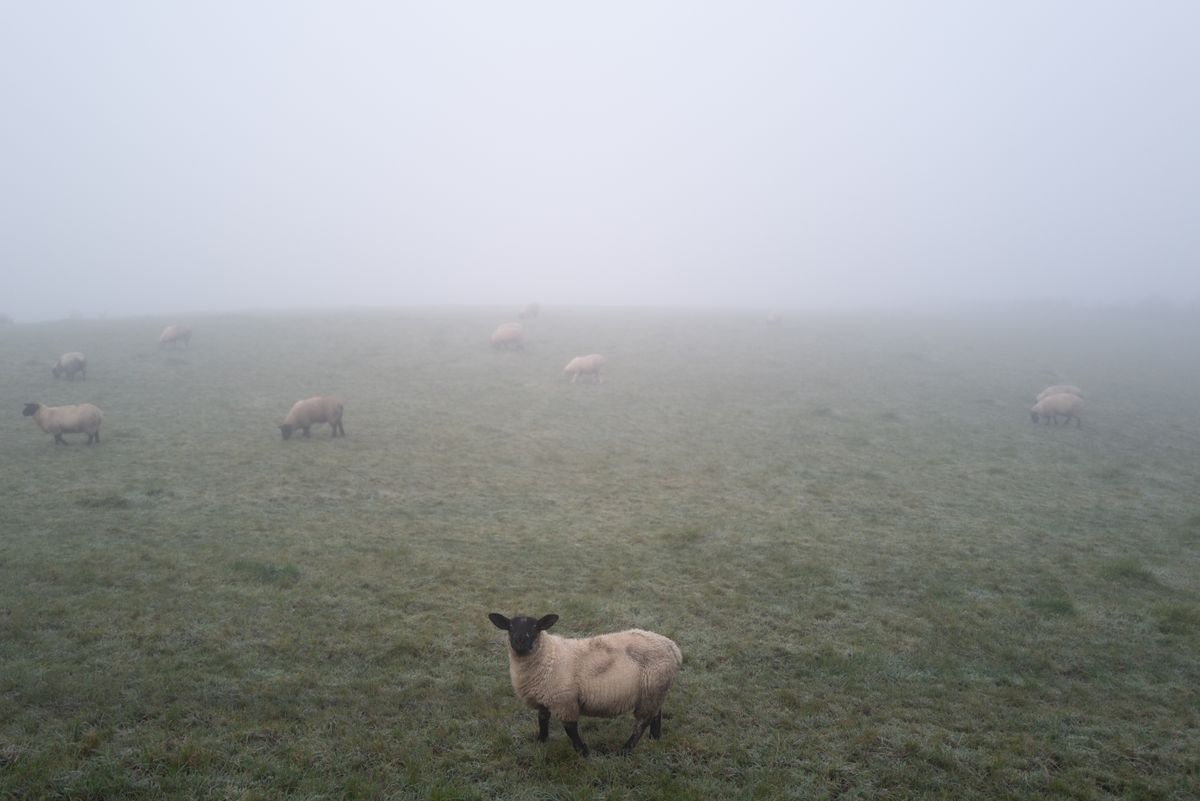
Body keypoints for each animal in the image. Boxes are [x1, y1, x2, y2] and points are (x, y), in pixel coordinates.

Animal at [488, 612, 682, 756]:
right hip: (657, 690)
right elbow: (542, 720)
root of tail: (671, 645)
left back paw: (626, 750)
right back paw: (654, 738)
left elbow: (570, 729)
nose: (520, 641)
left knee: (642, 721)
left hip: (652, 689)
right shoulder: (543, 699)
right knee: (656, 713)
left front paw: (583, 751)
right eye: (510, 627)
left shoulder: (564, 701)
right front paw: (541, 742)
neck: (547, 655)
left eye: (536, 627)